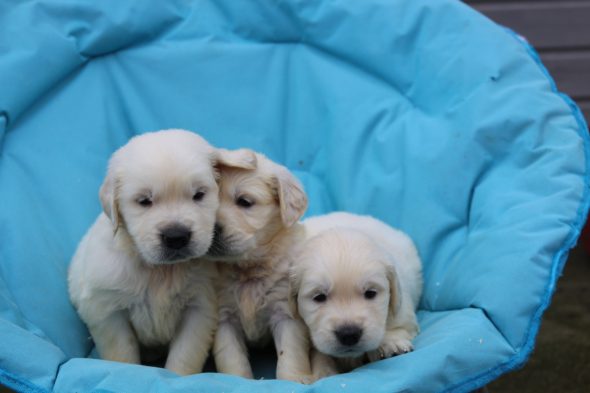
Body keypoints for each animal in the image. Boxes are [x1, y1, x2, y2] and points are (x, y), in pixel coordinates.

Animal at [67, 129, 256, 374]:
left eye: (198, 195)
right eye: (144, 201)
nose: (176, 237)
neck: (161, 270)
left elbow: (184, 356)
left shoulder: (198, 309)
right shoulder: (109, 312)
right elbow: (122, 354)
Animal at [209, 152, 314, 382]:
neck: (248, 268)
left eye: (244, 202)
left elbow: (289, 353)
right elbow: (232, 357)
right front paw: (239, 380)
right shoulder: (223, 317)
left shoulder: (285, 311)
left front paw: (293, 379)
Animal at [292, 213, 424, 376]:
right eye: (319, 297)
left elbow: (399, 326)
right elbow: (321, 357)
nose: (349, 334)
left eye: (370, 293)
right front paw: (325, 373)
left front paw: (392, 343)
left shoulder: (402, 308)